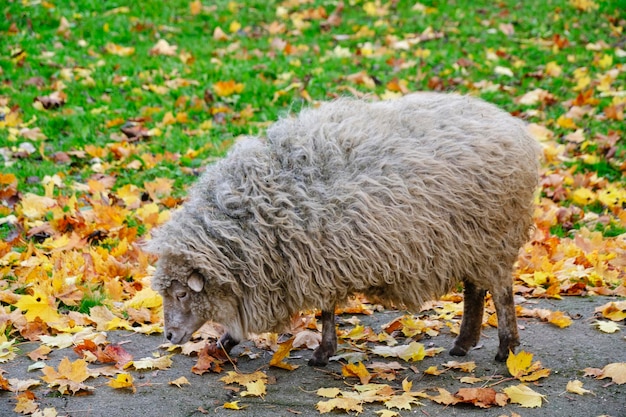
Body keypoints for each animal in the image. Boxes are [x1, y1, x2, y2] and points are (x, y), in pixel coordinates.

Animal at [144, 92, 540, 366]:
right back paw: (463, 344)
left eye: (182, 293)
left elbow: (325, 311)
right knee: (475, 290)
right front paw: (225, 343)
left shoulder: (315, 260)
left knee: (501, 293)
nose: (170, 335)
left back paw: (506, 348)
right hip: (470, 242)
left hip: (493, 237)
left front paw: (322, 352)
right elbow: (325, 309)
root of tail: (513, 126)